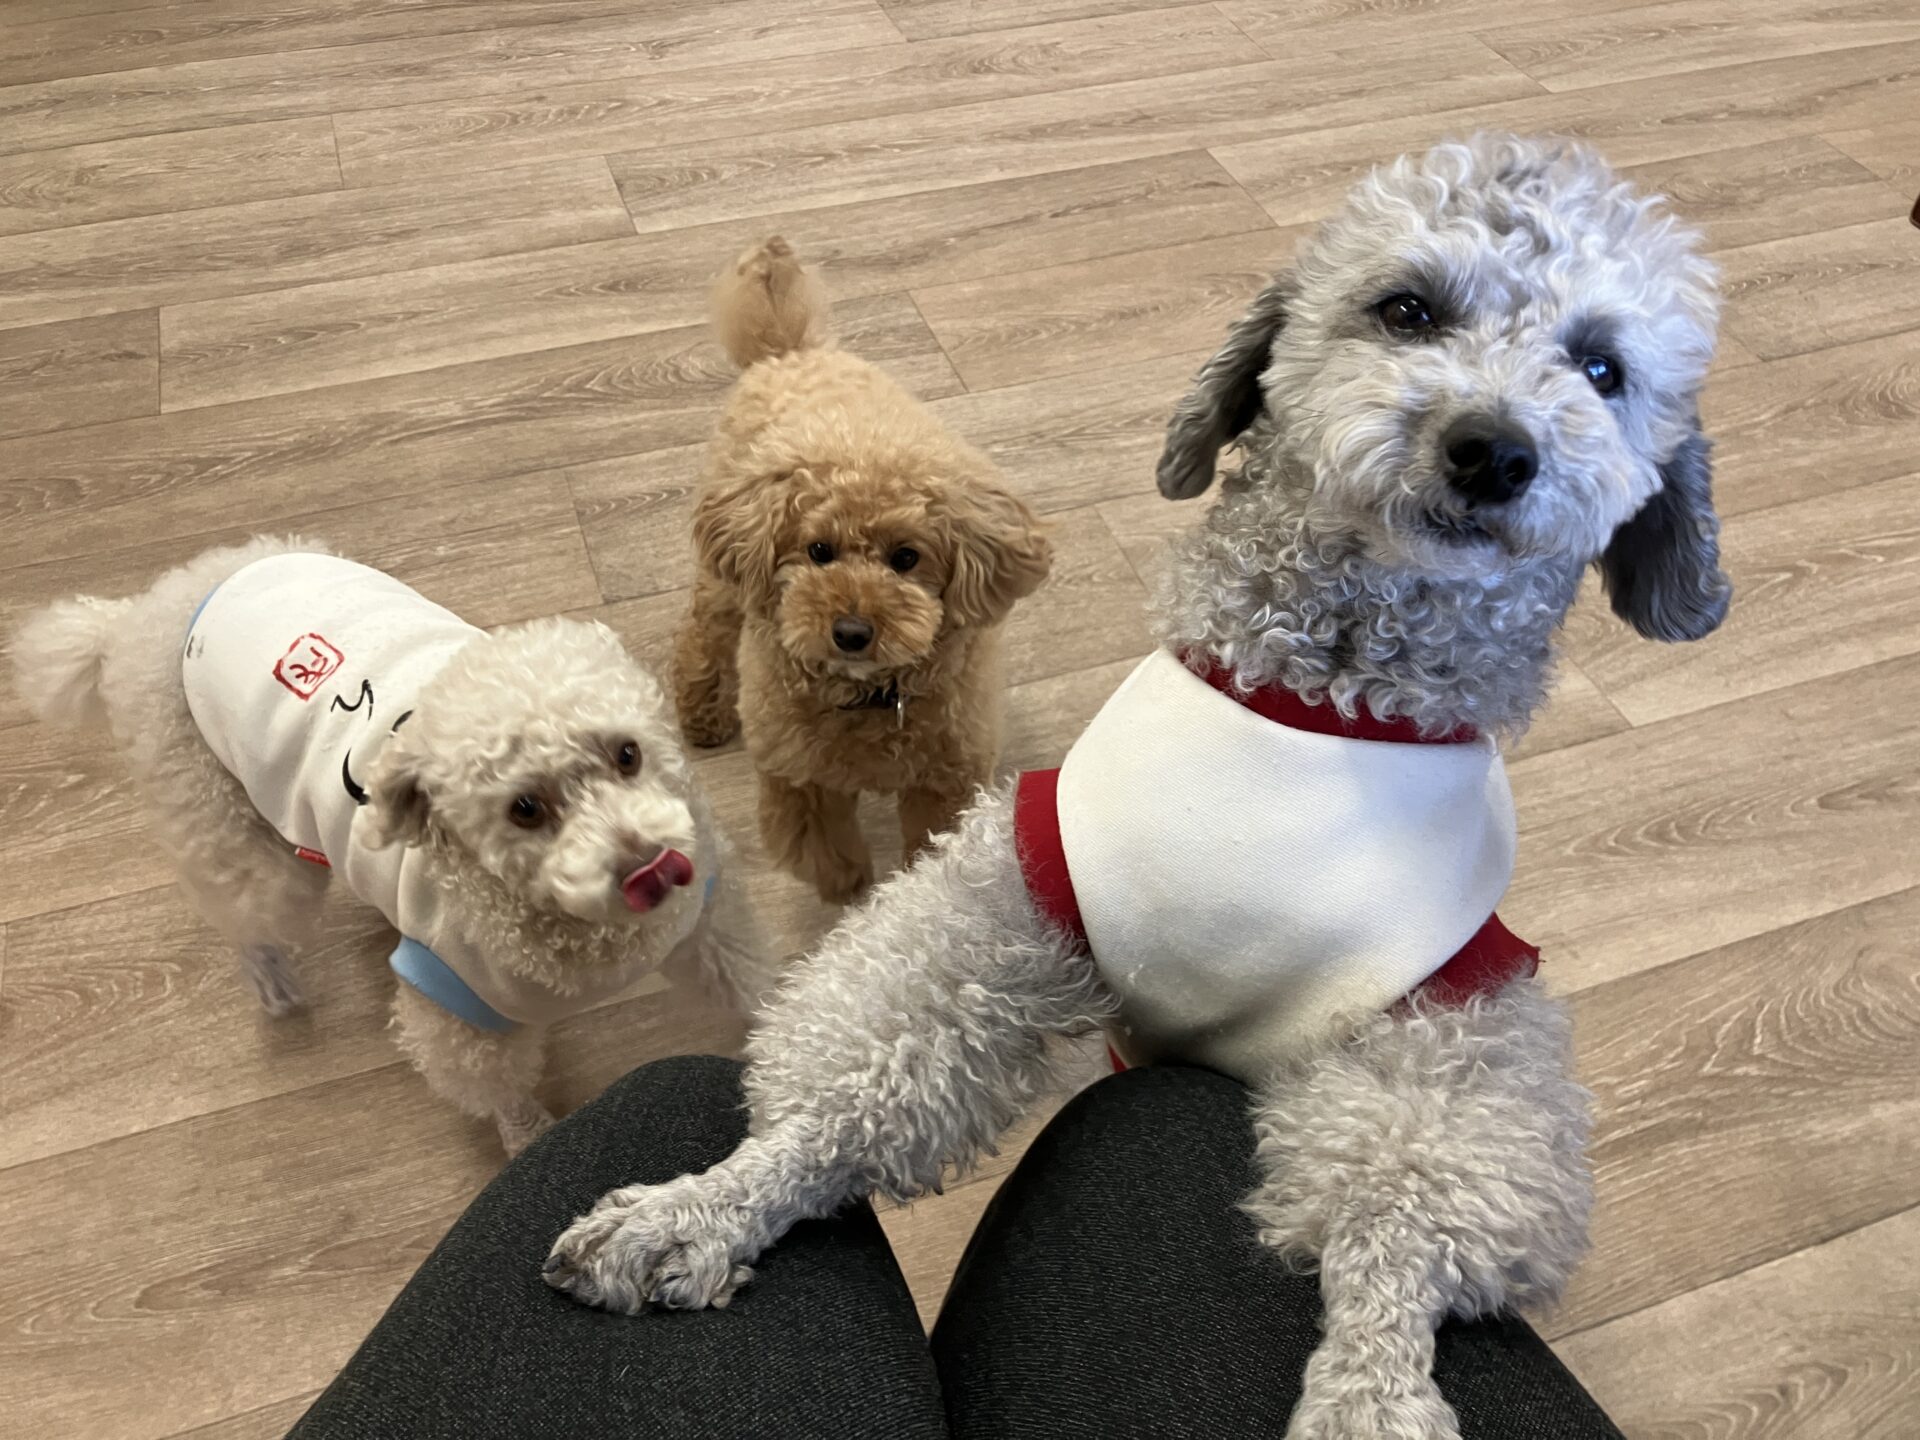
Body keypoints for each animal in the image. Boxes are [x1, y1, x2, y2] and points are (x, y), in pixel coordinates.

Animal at [13, 538, 768, 1155]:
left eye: (628, 754)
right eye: (525, 810)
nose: (653, 869)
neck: (586, 933)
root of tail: (139, 615)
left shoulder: (704, 924)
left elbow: (750, 990)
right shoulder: (459, 1010)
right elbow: (498, 1090)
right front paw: (529, 1141)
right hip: (229, 823)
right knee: (245, 912)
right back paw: (272, 976)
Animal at [673, 238, 1053, 903]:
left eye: (906, 558)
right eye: (818, 551)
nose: (851, 632)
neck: (870, 696)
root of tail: (790, 350)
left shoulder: (944, 780)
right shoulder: (799, 777)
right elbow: (823, 849)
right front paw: (852, 895)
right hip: (725, 579)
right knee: (704, 634)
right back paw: (702, 713)